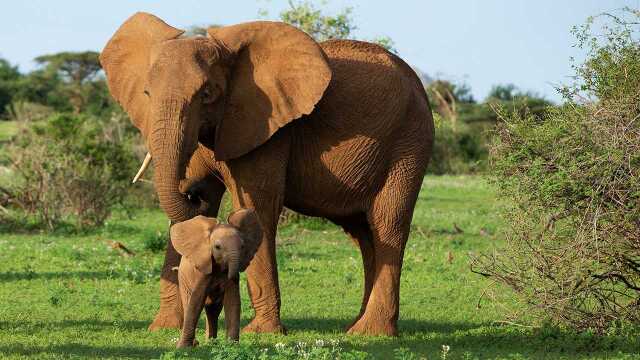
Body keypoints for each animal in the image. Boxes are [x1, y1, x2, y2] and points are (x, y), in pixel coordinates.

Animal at [170, 210, 262, 348]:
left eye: (242, 246)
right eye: (217, 247)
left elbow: (233, 300)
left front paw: (232, 346)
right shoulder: (203, 270)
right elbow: (196, 300)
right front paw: (183, 348)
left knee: (213, 310)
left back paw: (211, 342)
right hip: (183, 278)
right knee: (189, 302)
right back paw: (198, 343)